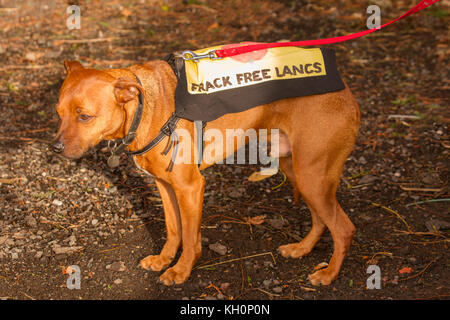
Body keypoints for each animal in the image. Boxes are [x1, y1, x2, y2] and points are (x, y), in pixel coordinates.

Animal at [52, 58, 360, 286]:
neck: (143, 109)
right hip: (298, 171)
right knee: (321, 221)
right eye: (58, 113)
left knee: (344, 229)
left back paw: (328, 274)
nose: (54, 147)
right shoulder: (165, 186)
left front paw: (181, 271)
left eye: (85, 116)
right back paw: (301, 249)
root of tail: (348, 94)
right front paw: (164, 260)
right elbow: (173, 229)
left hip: (312, 176)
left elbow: (189, 238)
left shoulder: (190, 187)